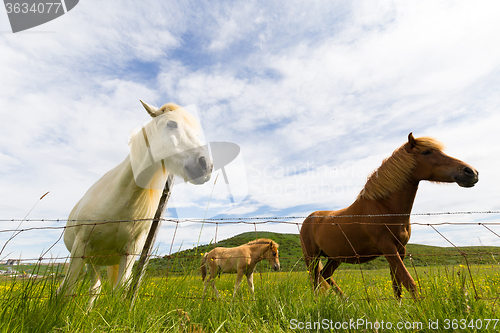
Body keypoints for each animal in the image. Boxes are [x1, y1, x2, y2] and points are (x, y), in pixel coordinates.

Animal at [57, 101, 212, 306]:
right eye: (171, 124)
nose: (205, 165)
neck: (121, 199)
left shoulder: (129, 253)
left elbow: (118, 292)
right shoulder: (80, 247)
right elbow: (66, 289)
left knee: (95, 288)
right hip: (90, 259)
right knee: (90, 287)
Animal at [298, 132, 478, 298]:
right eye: (426, 152)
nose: (471, 172)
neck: (384, 207)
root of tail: (309, 219)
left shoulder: (400, 250)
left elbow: (397, 286)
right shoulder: (388, 248)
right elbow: (409, 283)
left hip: (335, 256)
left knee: (326, 275)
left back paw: (346, 301)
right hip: (312, 257)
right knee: (315, 281)